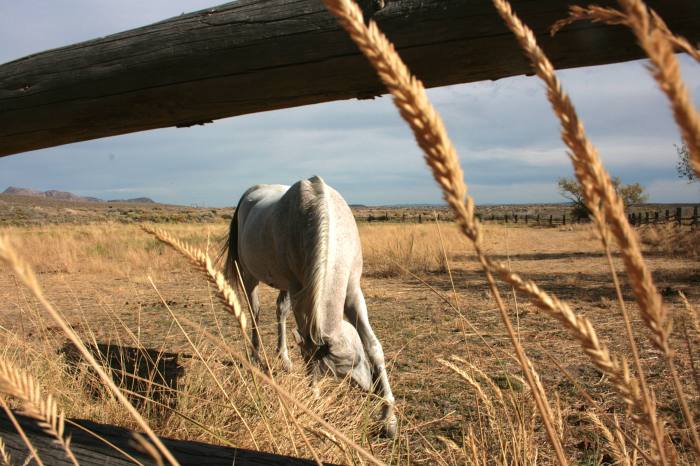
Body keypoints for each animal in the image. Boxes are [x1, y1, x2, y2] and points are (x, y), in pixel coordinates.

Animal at [221, 176, 397, 436]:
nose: (368, 388)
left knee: (280, 310)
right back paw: (255, 357)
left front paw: (389, 417)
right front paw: (313, 395)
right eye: (346, 367)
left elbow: (373, 346)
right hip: (250, 277)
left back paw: (283, 358)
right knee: (254, 313)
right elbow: (309, 344)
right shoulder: (300, 293)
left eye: (358, 358)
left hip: (286, 285)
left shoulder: (353, 292)